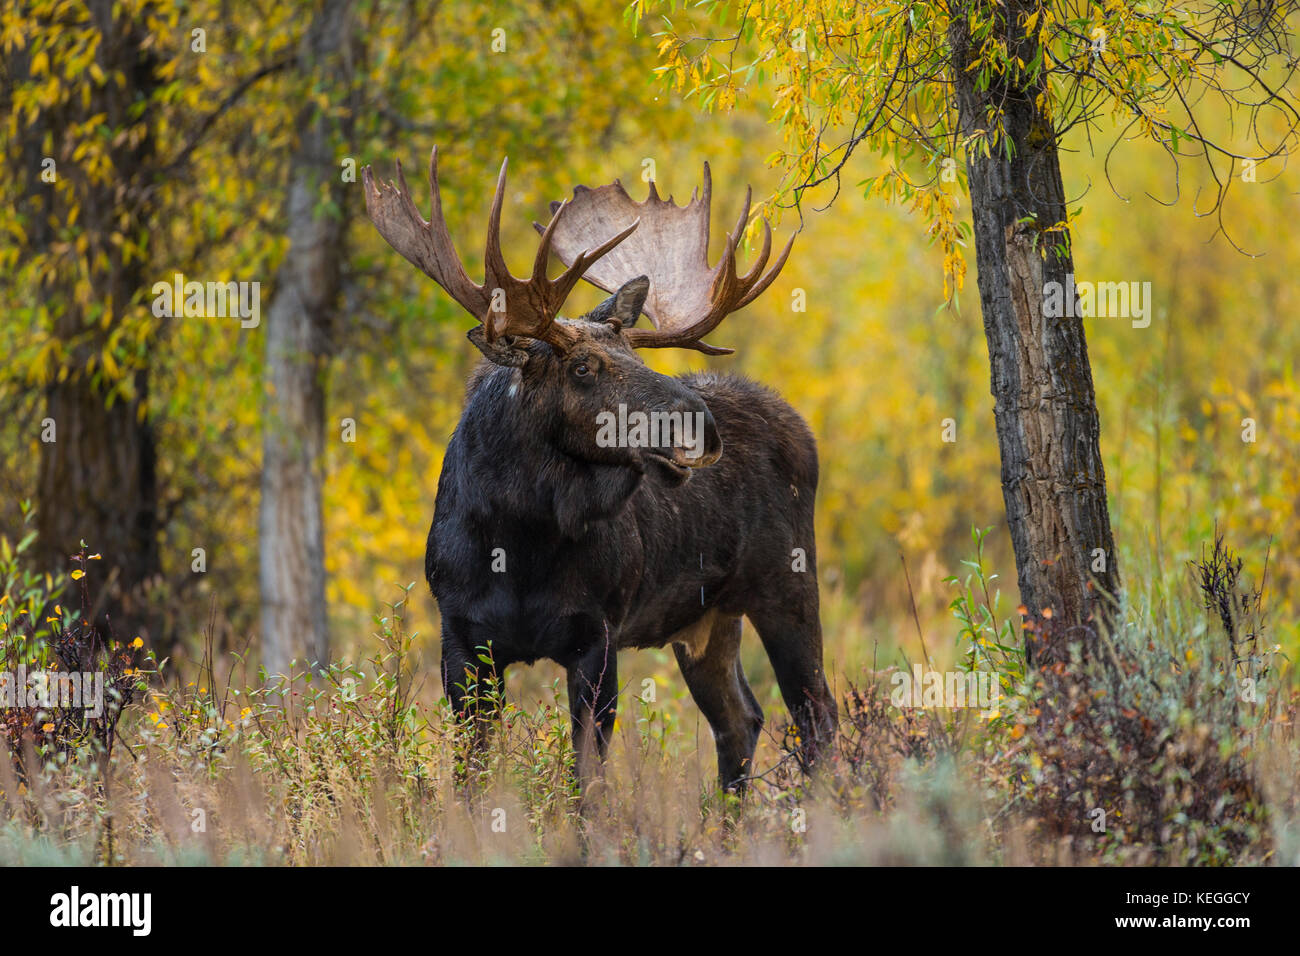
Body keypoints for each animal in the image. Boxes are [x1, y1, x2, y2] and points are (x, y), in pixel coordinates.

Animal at [361, 147, 837, 790]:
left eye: (633, 352)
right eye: (583, 367)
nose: (701, 425)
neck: (520, 542)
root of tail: (801, 428)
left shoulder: (598, 634)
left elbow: (587, 780)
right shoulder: (459, 637)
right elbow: (470, 776)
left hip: (789, 583)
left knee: (818, 717)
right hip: (709, 620)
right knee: (742, 719)